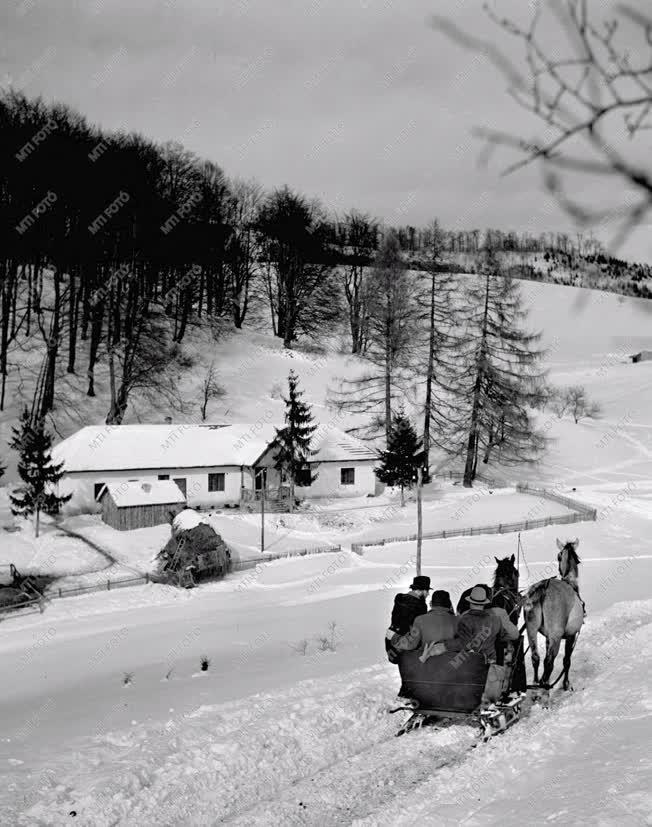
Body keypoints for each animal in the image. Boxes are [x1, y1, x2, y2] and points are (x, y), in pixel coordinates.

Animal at [524, 536, 584, 692]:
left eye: (558, 557)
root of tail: (543, 589)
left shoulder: (547, 637)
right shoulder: (571, 635)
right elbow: (566, 661)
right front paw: (566, 684)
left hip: (531, 630)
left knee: (536, 657)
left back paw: (536, 682)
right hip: (556, 636)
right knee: (549, 662)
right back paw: (545, 685)